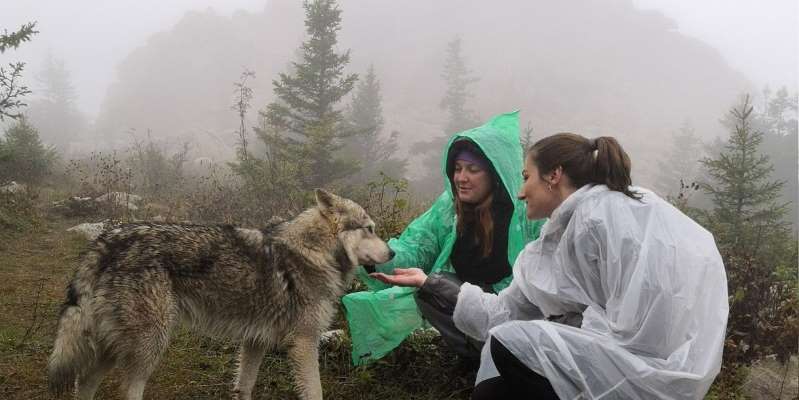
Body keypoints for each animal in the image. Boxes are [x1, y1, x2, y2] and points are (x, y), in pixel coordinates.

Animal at [47, 189, 394, 398]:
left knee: (84, 381)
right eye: (370, 229)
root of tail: (106, 242)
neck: (314, 251)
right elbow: (315, 391)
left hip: (113, 345)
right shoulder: (305, 342)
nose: (392, 253)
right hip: (149, 345)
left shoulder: (256, 341)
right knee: (124, 389)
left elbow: (244, 387)